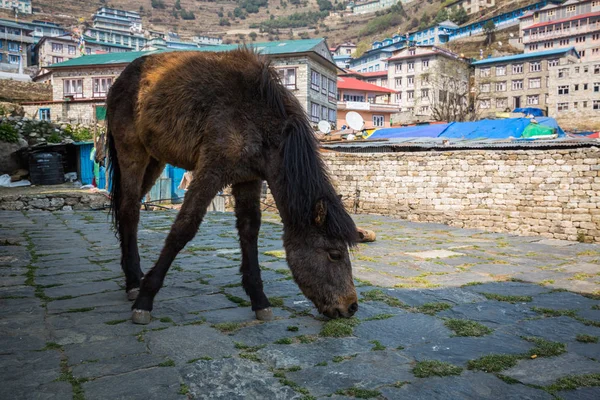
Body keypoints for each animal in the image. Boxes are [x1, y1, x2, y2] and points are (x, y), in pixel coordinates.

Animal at [105, 49, 358, 324]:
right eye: (334, 254)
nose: (352, 307)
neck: (257, 117)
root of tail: (121, 80)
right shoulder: (211, 171)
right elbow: (184, 228)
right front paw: (146, 299)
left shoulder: (248, 178)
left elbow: (249, 230)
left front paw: (259, 299)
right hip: (132, 153)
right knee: (130, 209)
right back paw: (134, 282)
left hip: (154, 160)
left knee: (127, 207)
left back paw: (132, 275)